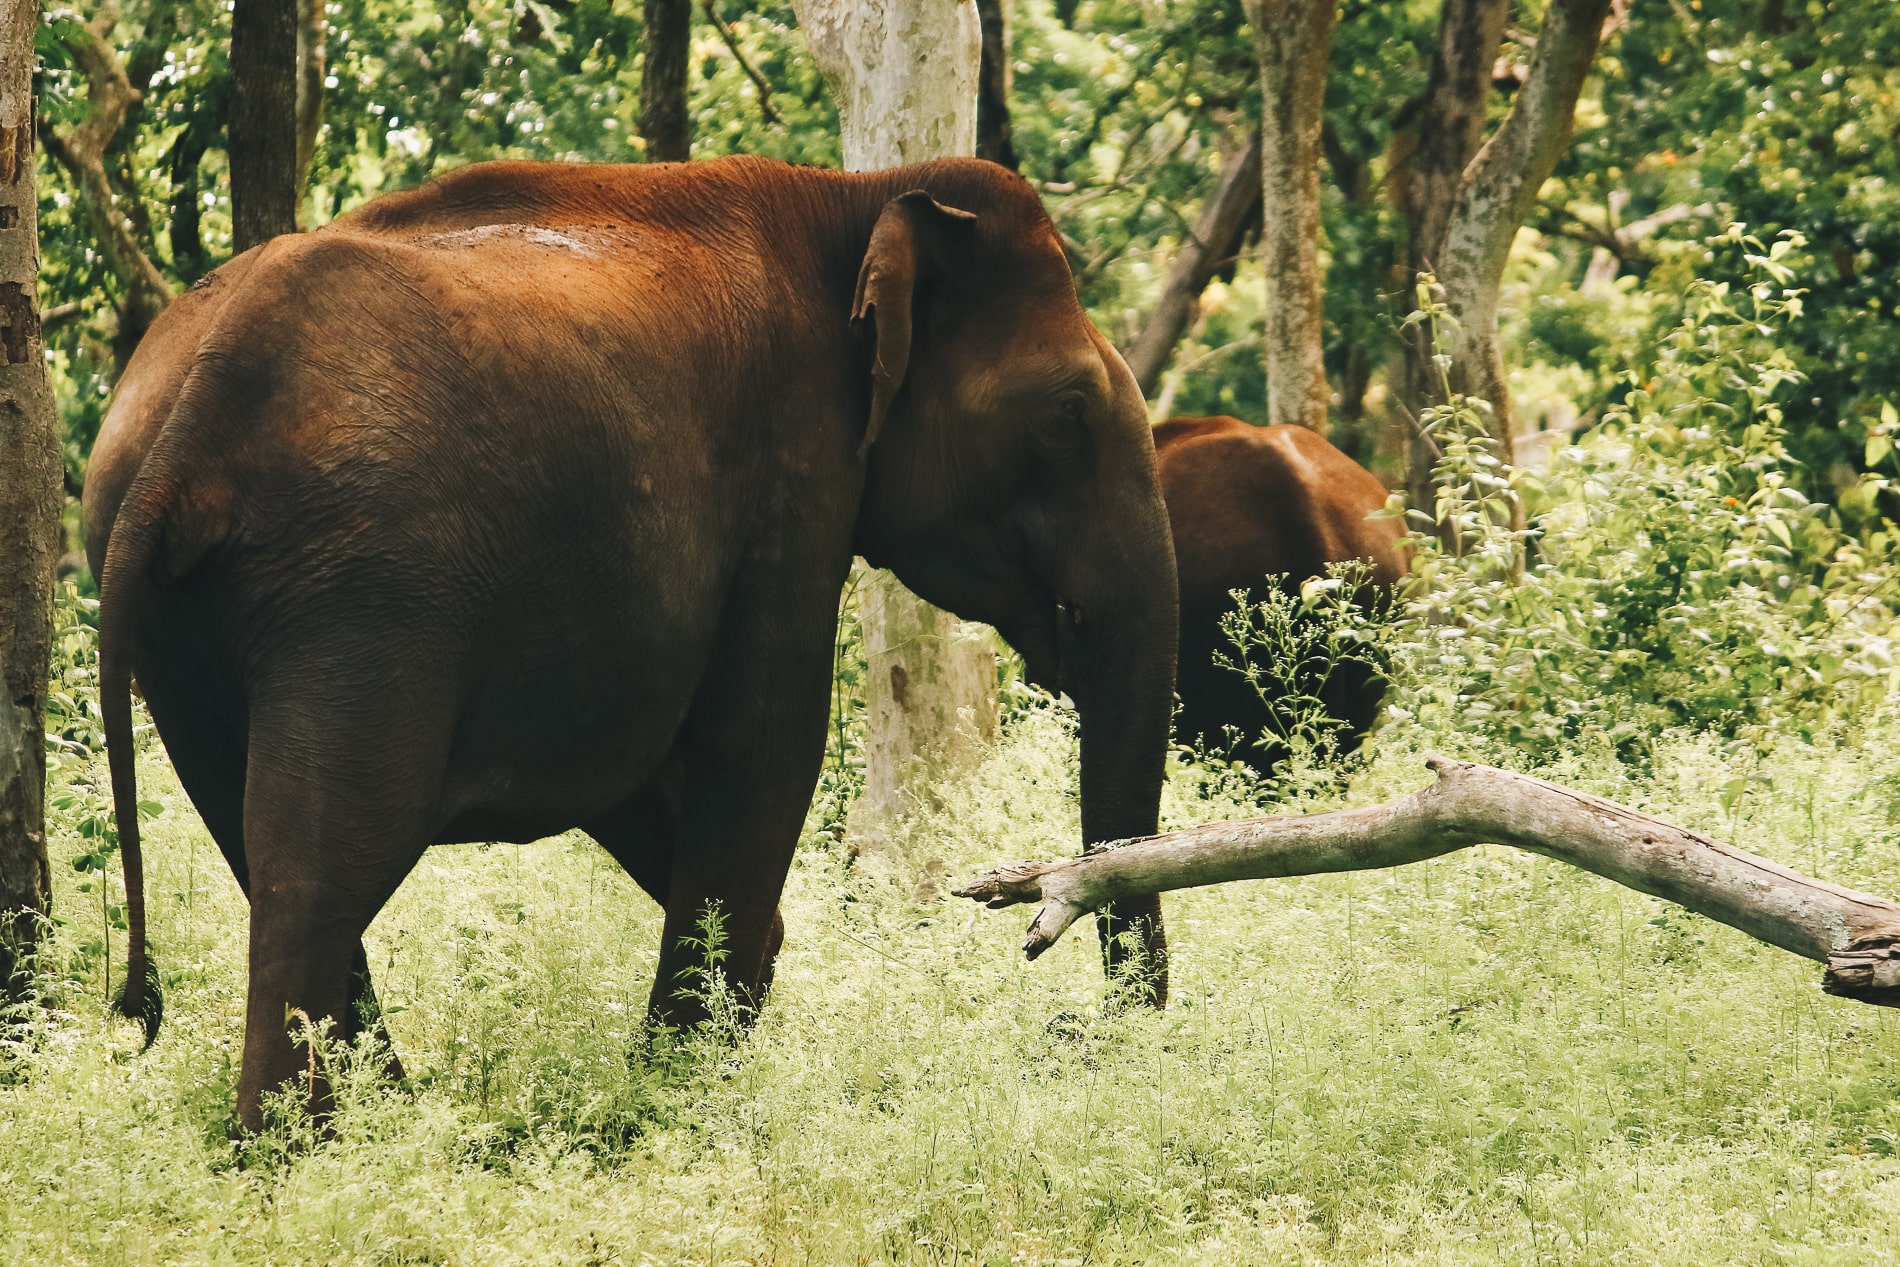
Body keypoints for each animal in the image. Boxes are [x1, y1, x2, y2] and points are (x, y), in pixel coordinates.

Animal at [86, 156, 1180, 1131]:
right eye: (1070, 413)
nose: (1090, 1028)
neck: (854, 196)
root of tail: (182, 435)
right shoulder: (793, 465)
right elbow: (764, 744)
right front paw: (679, 1105)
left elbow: (640, 771)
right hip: (363, 593)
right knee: (321, 862)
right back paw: (301, 1156)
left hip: (196, 629)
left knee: (256, 839)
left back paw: (387, 1123)